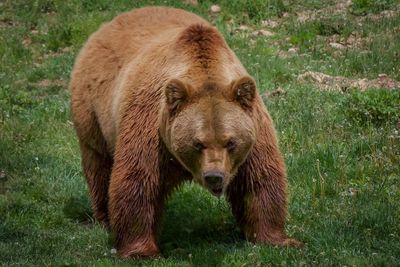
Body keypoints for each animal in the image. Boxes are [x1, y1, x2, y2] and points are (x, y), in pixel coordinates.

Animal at [69, 5, 302, 258]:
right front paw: (141, 250)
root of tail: (109, 24)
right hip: (92, 111)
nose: (214, 176)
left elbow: (259, 181)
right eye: (198, 143)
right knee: (99, 165)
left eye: (230, 142)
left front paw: (276, 239)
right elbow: (138, 181)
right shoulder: (152, 127)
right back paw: (104, 218)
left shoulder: (254, 131)